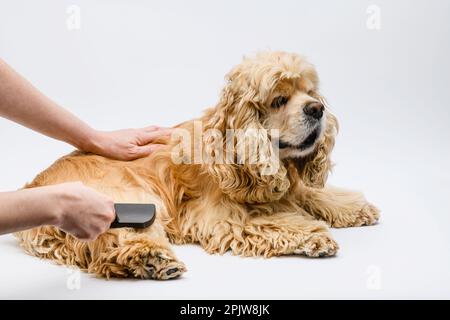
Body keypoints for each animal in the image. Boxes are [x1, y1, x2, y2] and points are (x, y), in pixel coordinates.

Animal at [14, 51, 380, 278]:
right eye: (279, 99)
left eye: (311, 93)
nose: (317, 109)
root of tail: (34, 185)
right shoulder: (216, 217)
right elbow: (269, 222)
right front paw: (312, 236)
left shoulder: (282, 185)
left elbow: (307, 192)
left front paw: (355, 208)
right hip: (126, 198)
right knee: (117, 239)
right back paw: (150, 259)